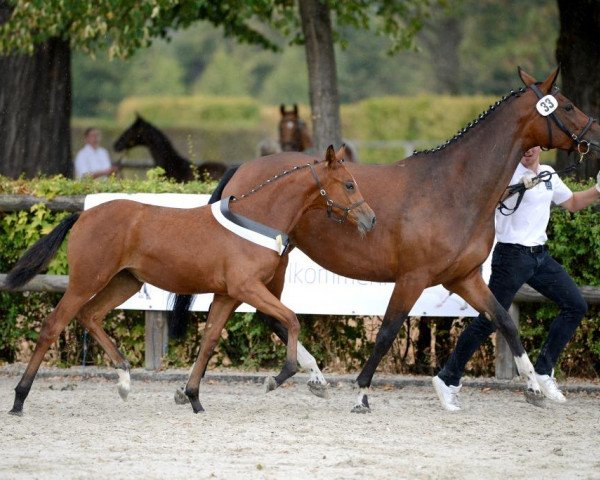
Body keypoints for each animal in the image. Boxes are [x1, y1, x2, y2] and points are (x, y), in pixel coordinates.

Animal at [4, 144, 372, 414]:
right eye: (349, 184)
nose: (370, 219)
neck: (257, 219)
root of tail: (83, 214)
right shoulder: (248, 288)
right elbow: (292, 320)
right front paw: (280, 376)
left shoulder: (228, 295)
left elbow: (209, 340)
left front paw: (193, 397)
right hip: (86, 281)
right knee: (53, 325)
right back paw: (19, 398)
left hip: (125, 281)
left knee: (90, 316)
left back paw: (124, 379)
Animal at [171, 66, 600, 412]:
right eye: (566, 106)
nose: (594, 133)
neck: (453, 187)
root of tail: (241, 172)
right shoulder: (413, 277)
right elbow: (388, 332)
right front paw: (362, 393)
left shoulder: (464, 278)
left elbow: (503, 321)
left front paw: (534, 389)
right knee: (268, 312)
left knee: (269, 313)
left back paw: (310, 378)